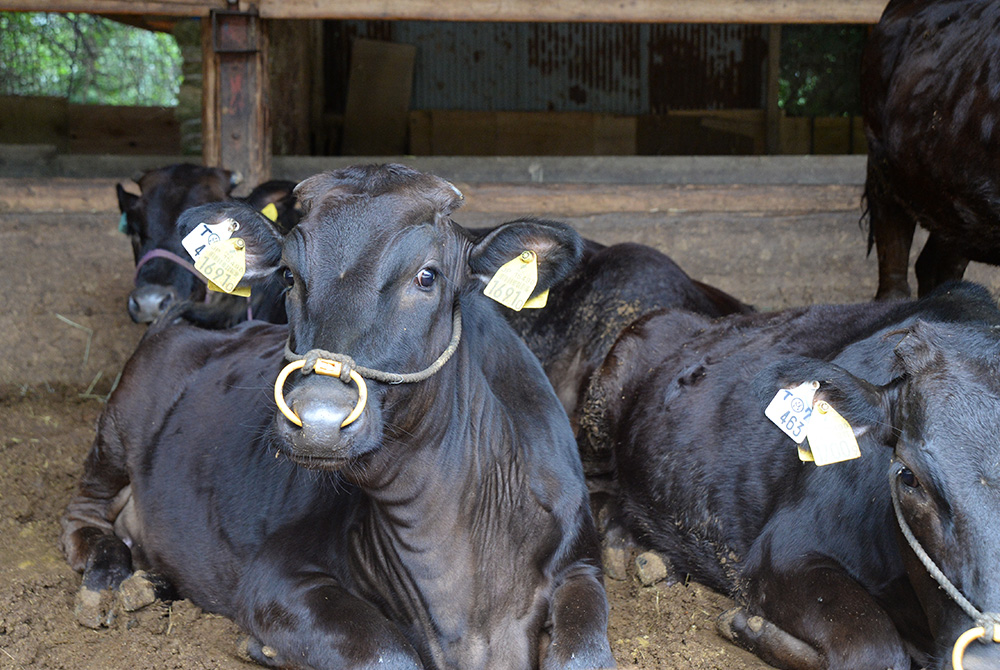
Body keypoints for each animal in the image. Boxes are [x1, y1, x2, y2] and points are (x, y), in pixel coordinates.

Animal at [584, 280, 1000, 668]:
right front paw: (748, 626)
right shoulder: (783, 550)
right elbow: (876, 648)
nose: (985, 658)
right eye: (908, 476)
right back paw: (622, 540)